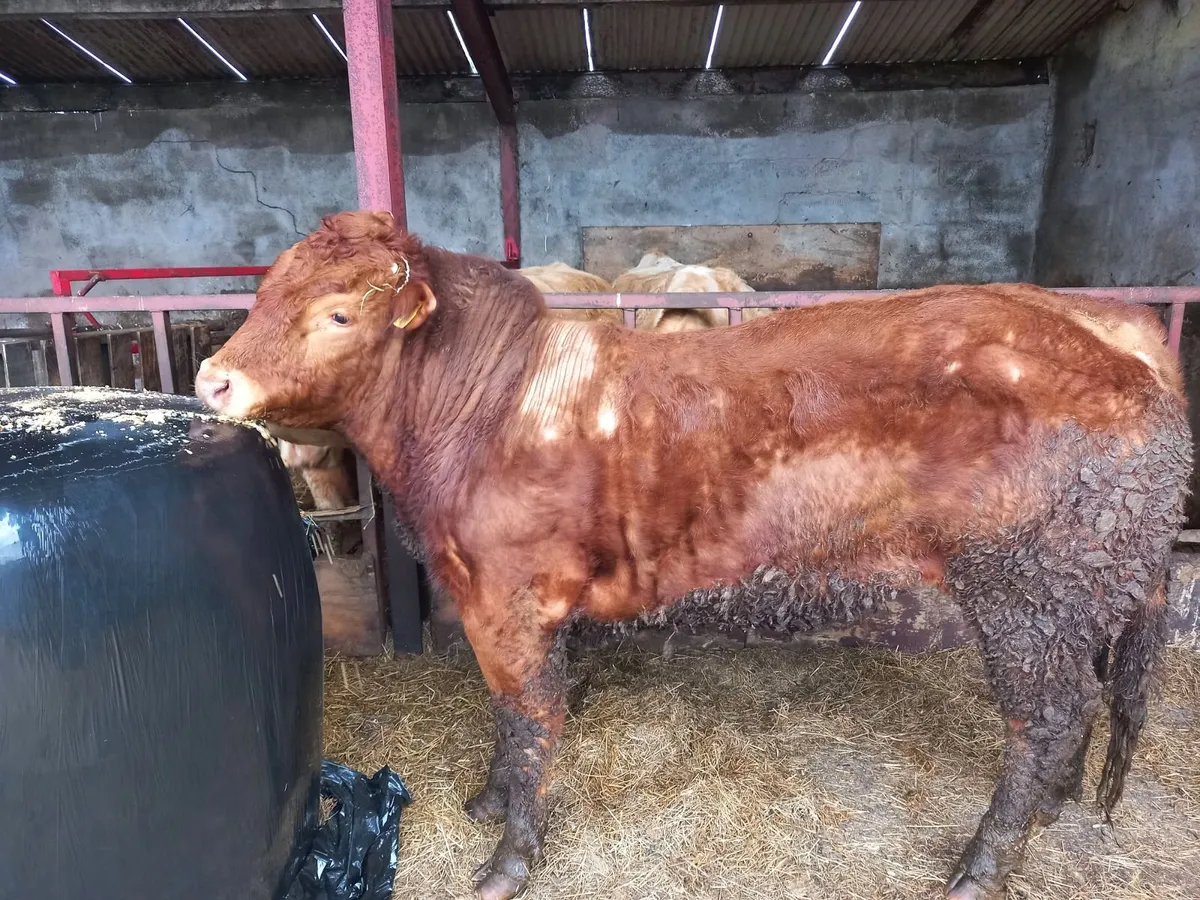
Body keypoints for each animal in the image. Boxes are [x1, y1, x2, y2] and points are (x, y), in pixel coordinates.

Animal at [194, 211, 1190, 900]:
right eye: (262, 293)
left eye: (337, 313)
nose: (213, 378)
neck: (494, 405)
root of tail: (1117, 335)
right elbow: (512, 720)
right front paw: (488, 803)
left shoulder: (511, 601)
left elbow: (529, 718)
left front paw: (510, 855)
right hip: (1078, 592)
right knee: (1085, 697)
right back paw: (1052, 808)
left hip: (1027, 591)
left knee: (1046, 717)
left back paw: (983, 864)